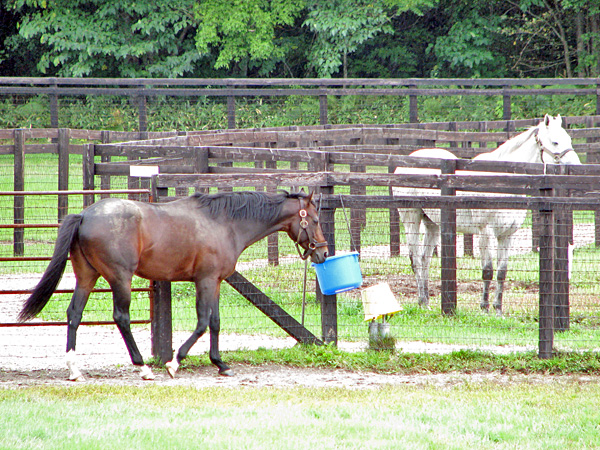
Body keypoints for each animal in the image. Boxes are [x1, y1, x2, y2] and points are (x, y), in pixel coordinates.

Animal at [18, 189, 328, 380]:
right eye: (314, 220)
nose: (323, 253)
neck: (224, 223)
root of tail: (84, 215)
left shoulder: (215, 282)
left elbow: (215, 322)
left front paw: (220, 363)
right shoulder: (205, 281)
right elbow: (202, 322)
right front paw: (174, 362)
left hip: (87, 276)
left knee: (74, 314)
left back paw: (74, 369)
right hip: (120, 278)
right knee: (121, 317)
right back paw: (143, 367)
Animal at [394, 114, 580, 314]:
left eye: (569, 140)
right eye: (555, 142)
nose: (577, 167)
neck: (500, 183)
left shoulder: (507, 235)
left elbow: (501, 272)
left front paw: (498, 310)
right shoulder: (486, 232)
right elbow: (488, 270)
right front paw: (484, 308)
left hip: (432, 224)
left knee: (424, 259)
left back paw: (426, 303)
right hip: (411, 219)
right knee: (415, 260)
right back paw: (421, 300)